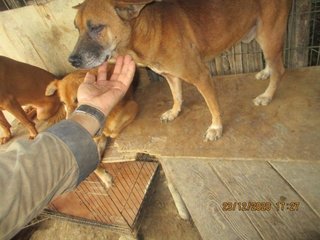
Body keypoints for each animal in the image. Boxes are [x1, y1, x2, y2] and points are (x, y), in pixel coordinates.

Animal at [69, 0, 292, 142]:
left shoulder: (201, 76)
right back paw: (265, 72)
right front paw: (174, 112)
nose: (72, 60)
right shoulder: (170, 75)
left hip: (269, 36)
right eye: (77, 28)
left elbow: (213, 106)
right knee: (273, 64)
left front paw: (216, 128)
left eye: (97, 27)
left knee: (280, 69)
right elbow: (176, 96)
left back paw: (267, 95)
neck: (147, 30)